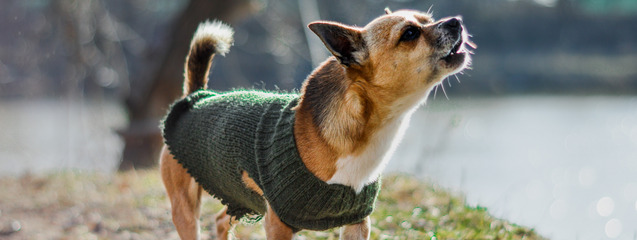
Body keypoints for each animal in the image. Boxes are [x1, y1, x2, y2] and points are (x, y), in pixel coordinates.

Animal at [160, 7, 472, 240]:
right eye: (410, 34)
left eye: (429, 20)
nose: (455, 21)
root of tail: (197, 96)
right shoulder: (278, 225)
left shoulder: (357, 223)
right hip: (186, 208)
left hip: (242, 197)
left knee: (221, 221)